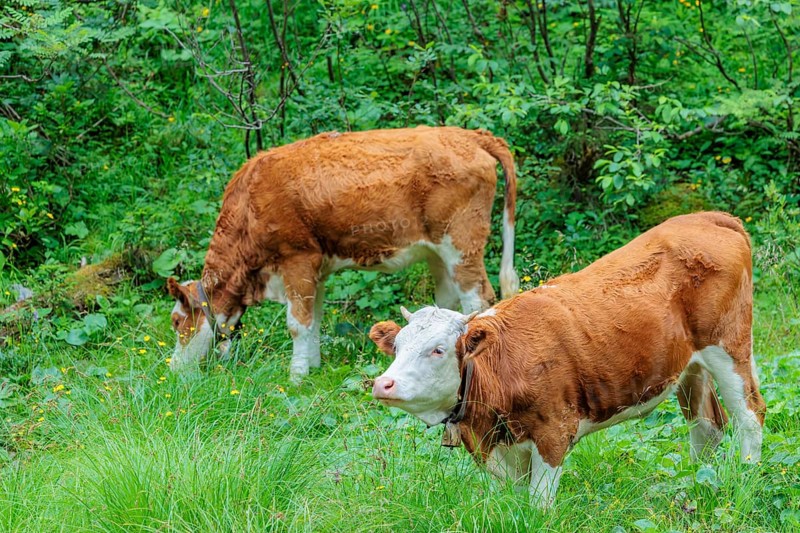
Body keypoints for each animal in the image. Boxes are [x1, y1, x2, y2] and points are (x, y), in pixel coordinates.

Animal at [166, 126, 519, 381]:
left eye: (176, 321)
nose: (172, 369)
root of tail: (470, 135)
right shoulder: (315, 266)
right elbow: (314, 319)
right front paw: (313, 367)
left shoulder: (296, 259)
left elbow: (297, 323)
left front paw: (295, 377)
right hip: (437, 250)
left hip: (462, 242)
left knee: (477, 299)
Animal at [369, 211, 765, 506]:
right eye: (397, 347)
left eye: (438, 349)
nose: (383, 384)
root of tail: (709, 217)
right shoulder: (496, 453)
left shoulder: (554, 433)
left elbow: (538, 505)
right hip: (691, 365)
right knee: (707, 425)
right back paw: (697, 485)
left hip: (728, 346)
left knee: (750, 414)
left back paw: (746, 478)